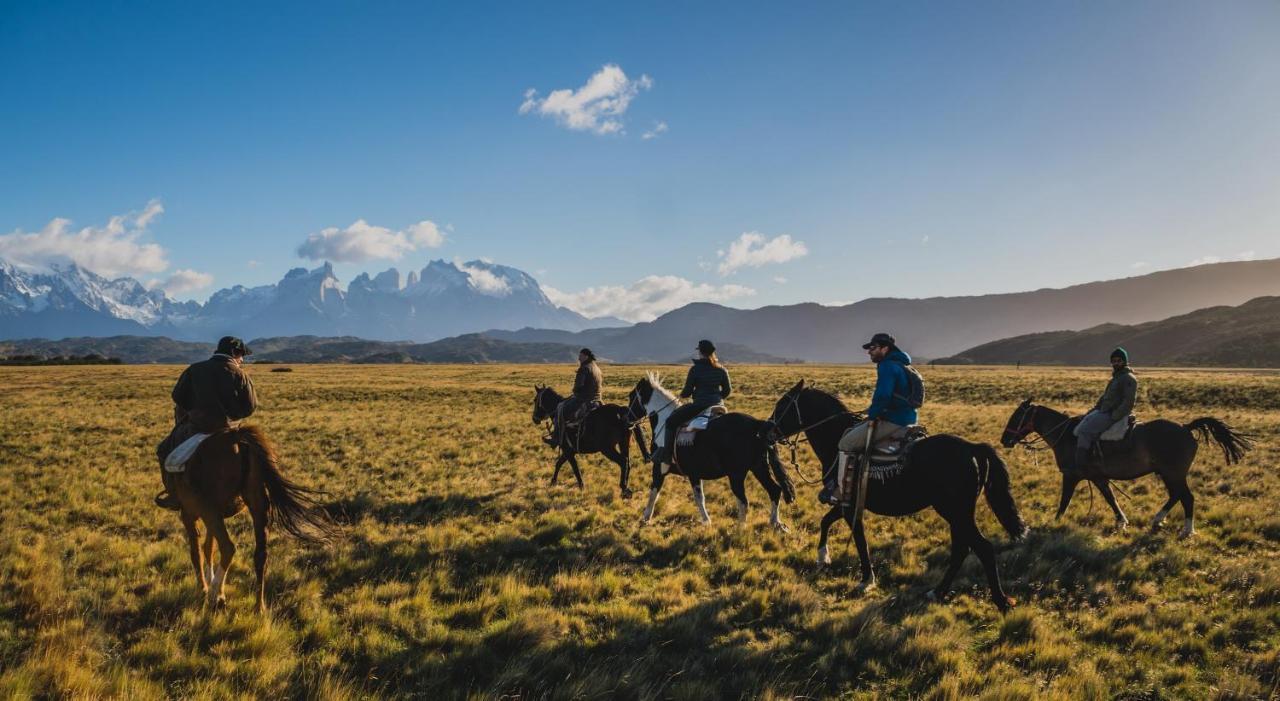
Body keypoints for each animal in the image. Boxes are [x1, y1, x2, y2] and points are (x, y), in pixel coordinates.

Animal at [166, 422, 335, 614]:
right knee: (260, 555)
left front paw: (204, 588)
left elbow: (197, 552)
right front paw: (210, 583)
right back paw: (258, 606)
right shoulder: (211, 516)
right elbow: (208, 547)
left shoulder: (189, 515)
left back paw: (214, 595)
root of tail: (237, 437)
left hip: (210, 510)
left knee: (228, 548)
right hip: (256, 505)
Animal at [627, 373, 793, 527]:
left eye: (631, 396)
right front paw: (707, 521)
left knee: (744, 502)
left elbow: (653, 492)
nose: (626, 418)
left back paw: (740, 529)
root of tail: (757, 424)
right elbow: (699, 498)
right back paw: (775, 523)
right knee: (775, 491)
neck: (663, 420)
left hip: (737, 475)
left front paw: (645, 518)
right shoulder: (693, 473)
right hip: (759, 468)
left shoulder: (659, 467)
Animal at [762, 381, 1024, 611]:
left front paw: (866, 580)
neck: (835, 441)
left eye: (783, 405)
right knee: (962, 548)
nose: (766, 431)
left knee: (982, 548)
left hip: (955, 511)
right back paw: (937, 592)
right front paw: (822, 557)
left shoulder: (850, 506)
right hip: (957, 513)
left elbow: (859, 540)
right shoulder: (846, 504)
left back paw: (1001, 601)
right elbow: (826, 522)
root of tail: (972, 448)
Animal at [993, 399, 1254, 537]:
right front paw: (1122, 521)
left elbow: (1064, 501)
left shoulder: (1071, 476)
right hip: (1168, 474)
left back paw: (1186, 530)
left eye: (1016, 417)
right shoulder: (1099, 478)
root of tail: (1185, 428)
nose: (1004, 440)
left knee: (1186, 497)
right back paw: (1158, 520)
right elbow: (1111, 498)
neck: (1066, 435)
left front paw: (1054, 523)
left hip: (1174, 474)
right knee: (1176, 496)